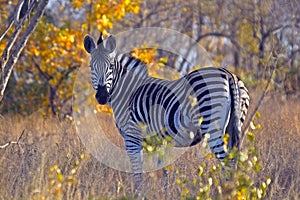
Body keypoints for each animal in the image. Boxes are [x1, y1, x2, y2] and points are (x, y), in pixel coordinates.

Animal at [83, 33, 250, 191]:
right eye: (91, 66)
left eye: (111, 66)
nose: (102, 96)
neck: (128, 92)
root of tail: (229, 74)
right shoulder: (157, 141)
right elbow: (161, 171)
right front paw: (163, 191)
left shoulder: (132, 137)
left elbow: (137, 173)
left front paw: (138, 193)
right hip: (233, 126)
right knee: (233, 162)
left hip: (212, 127)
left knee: (227, 164)